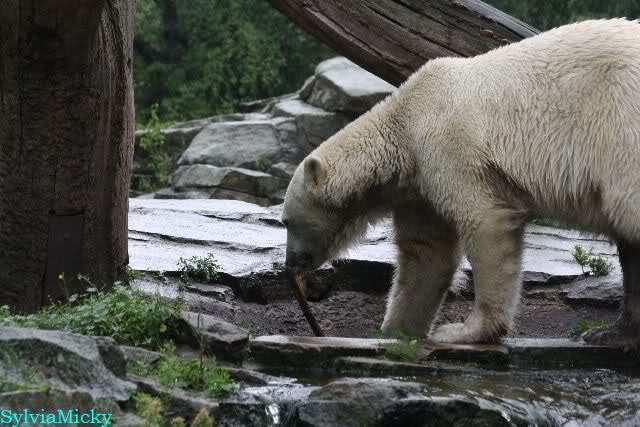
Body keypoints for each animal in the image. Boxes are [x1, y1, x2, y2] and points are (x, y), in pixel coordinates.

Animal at [282, 18, 640, 348]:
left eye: (285, 221)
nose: (291, 263)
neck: (405, 121)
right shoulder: (419, 186)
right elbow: (426, 255)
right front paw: (395, 332)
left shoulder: (450, 149)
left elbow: (484, 221)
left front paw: (465, 331)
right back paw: (613, 332)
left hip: (621, 128)